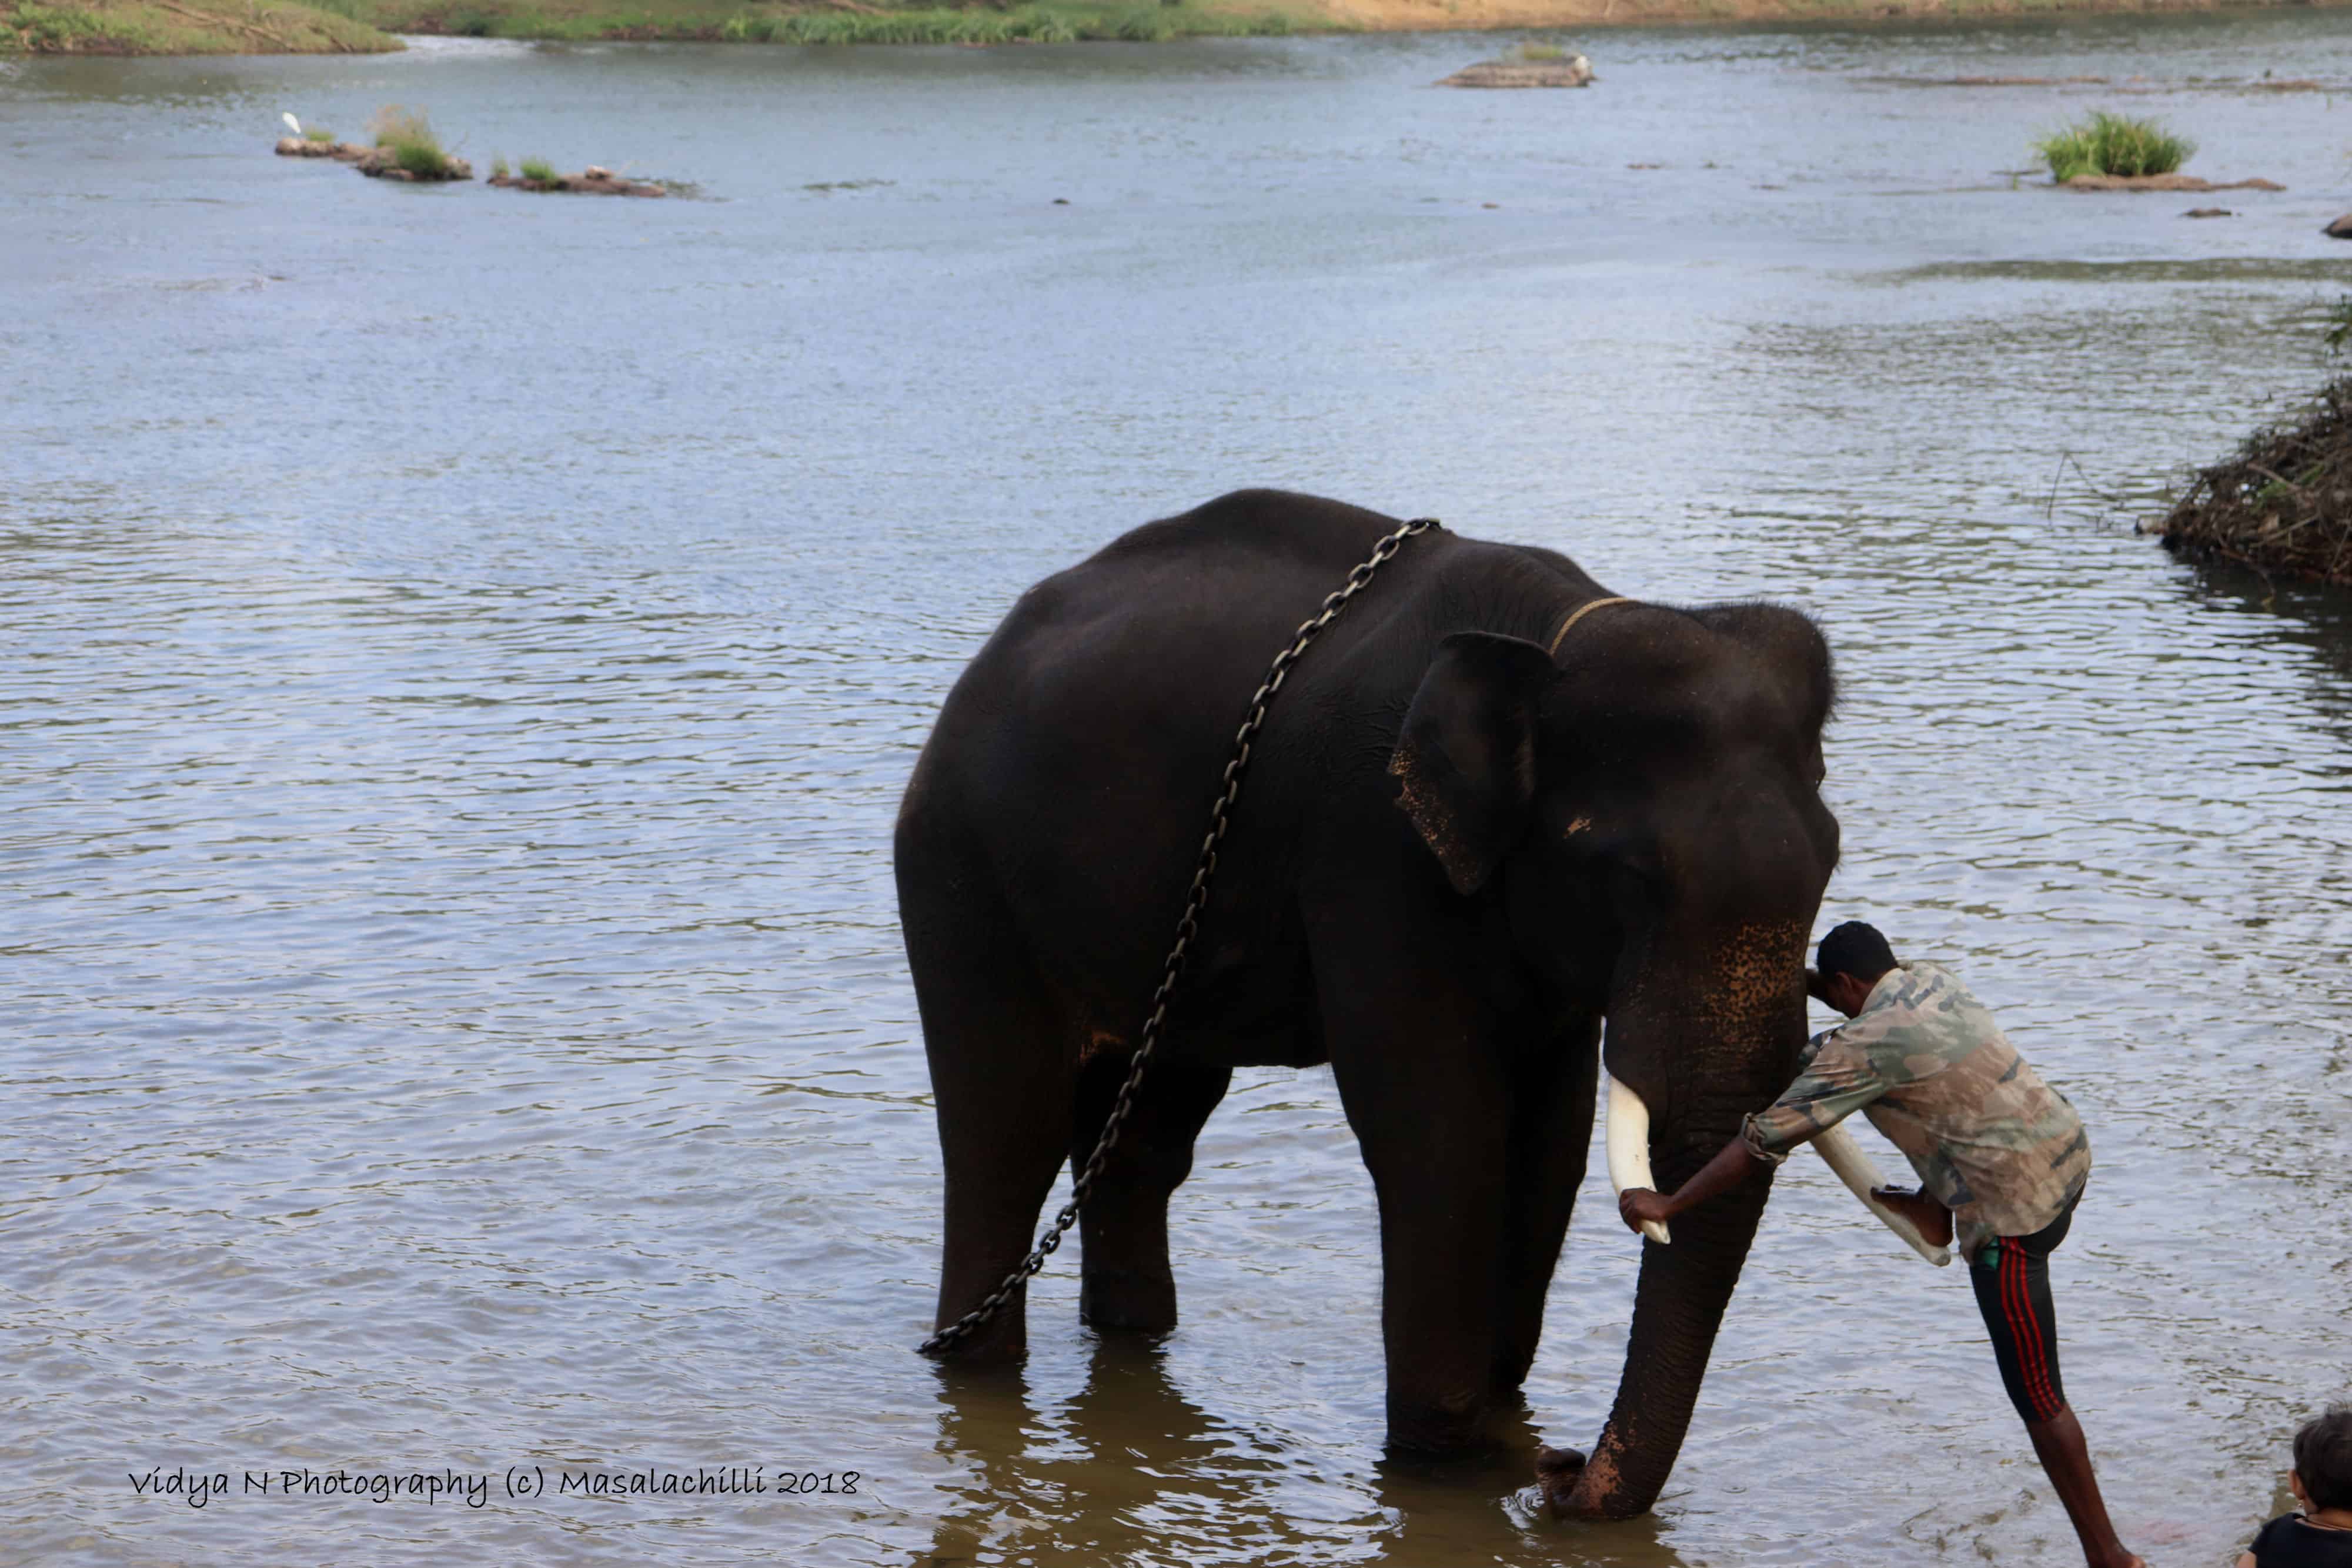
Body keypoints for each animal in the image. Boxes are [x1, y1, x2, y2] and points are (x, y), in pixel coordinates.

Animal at [894, 489, 1843, 1519]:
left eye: (1830, 861)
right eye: (1628, 877)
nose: (1559, 1470)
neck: (1561, 628)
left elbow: (1548, 1135)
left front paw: (1497, 1433)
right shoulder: (1369, 848)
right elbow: (1441, 1129)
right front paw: (1446, 1462)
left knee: (1147, 1139)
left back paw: (1135, 1339)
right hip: (961, 872)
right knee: (1005, 1136)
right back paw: (978, 1363)